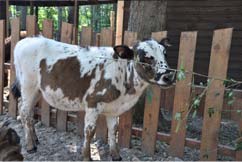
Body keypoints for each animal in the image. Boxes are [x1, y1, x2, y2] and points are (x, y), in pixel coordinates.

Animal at [11, 36, 174, 161]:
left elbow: (113, 130)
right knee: (24, 112)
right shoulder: (93, 102)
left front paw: (116, 155)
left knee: (28, 111)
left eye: (165, 53)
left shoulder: (114, 107)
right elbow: (89, 131)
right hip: (28, 86)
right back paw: (30, 146)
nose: (169, 76)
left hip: (38, 90)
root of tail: (25, 40)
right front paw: (86, 156)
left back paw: (35, 140)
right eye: (146, 57)